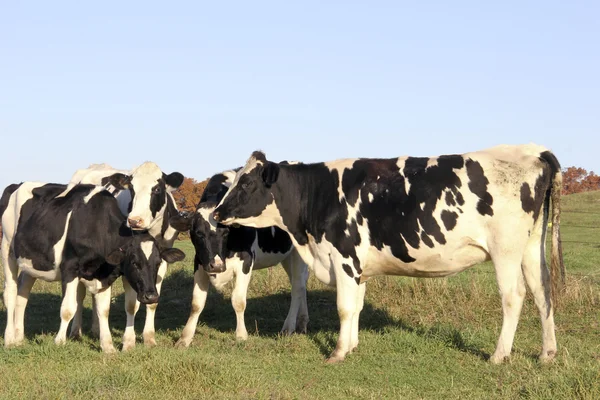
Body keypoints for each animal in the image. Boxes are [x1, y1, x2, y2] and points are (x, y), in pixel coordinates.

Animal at [1, 181, 185, 354]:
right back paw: (9, 339)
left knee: (22, 295)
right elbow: (68, 308)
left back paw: (19, 337)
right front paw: (59, 342)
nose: (151, 296)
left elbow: (103, 310)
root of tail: (16, 184)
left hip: (30, 264)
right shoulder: (70, 268)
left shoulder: (104, 276)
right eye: (134, 262)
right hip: (7, 249)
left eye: (158, 263)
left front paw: (108, 347)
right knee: (11, 293)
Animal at [66, 162, 189, 350]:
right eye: (132, 188)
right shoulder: (127, 264)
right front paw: (129, 342)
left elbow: (153, 303)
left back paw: (96, 329)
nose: (134, 220)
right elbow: (131, 305)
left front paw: (149, 338)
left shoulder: (162, 263)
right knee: (80, 297)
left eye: (157, 189)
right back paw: (75, 331)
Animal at [172, 169, 304, 346]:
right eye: (198, 233)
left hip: (299, 253)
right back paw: (302, 323)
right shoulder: (199, 262)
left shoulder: (245, 262)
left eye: (226, 232)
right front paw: (185, 338)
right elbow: (196, 303)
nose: (216, 266)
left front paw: (241, 335)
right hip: (286, 257)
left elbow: (238, 301)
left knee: (297, 288)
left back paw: (288, 327)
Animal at [213, 145, 564, 364]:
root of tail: (533, 149)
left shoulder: (344, 257)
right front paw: (352, 346)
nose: (216, 212)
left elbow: (344, 308)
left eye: (246, 184)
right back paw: (547, 354)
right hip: (531, 246)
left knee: (514, 296)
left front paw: (337, 352)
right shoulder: (359, 266)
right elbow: (355, 307)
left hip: (506, 250)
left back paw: (499, 355)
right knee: (542, 291)